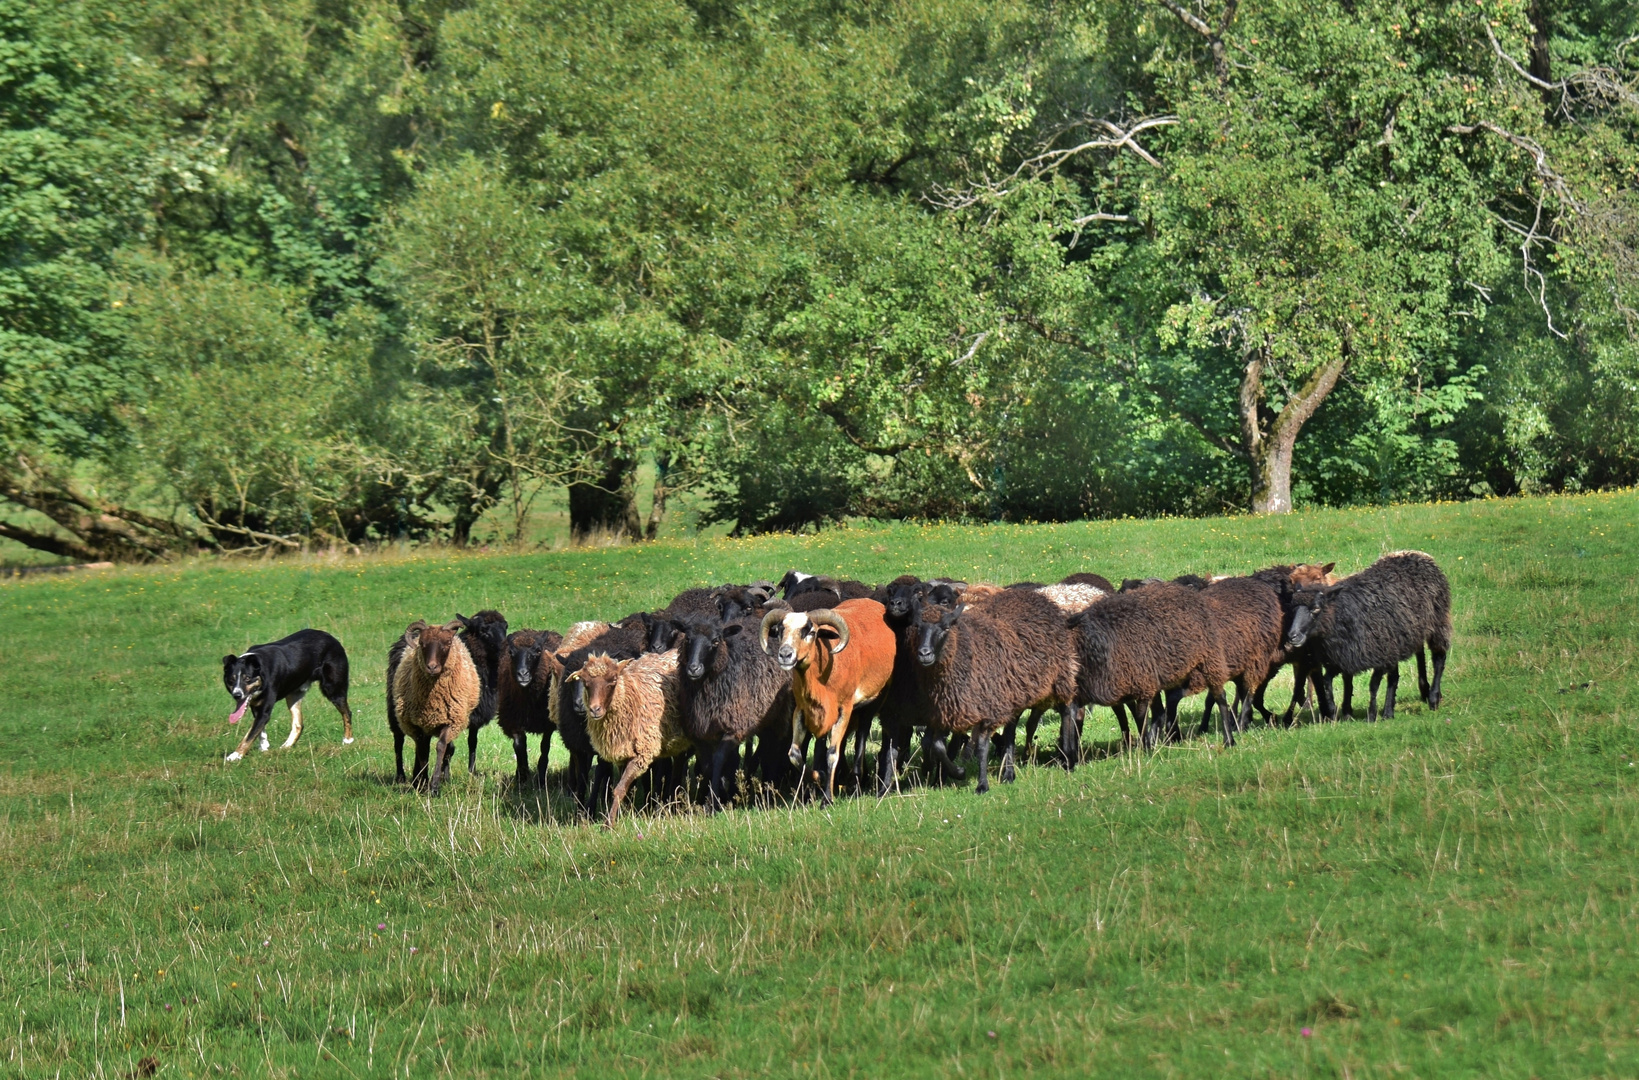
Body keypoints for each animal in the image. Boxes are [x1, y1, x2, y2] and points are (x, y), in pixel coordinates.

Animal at [390, 626, 478, 793]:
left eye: (447, 643)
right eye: (422, 644)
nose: (432, 667)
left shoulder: (450, 721)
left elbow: (441, 747)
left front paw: (435, 785)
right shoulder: (416, 724)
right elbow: (423, 751)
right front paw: (424, 782)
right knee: (400, 742)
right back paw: (404, 777)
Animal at [573, 652, 688, 829]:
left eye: (613, 680)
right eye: (585, 682)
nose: (594, 710)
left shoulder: (642, 754)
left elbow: (619, 789)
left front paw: (609, 823)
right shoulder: (622, 754)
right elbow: (623, 790)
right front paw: (625, 813)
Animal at [1284, 553, 1455, 721]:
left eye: (1316, 608)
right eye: (1293, 608)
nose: (1292, 636)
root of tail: (1417, 554)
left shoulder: (1376, 655)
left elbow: (1373, 685)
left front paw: (1371, 715)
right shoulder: (1343, 657)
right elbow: (1331, 681)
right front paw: (1338, 712)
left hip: (1438, 621)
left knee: (1439, 658)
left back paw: (1433, 698)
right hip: (1405, 636)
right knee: (1405, 667)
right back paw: (1395, 708)